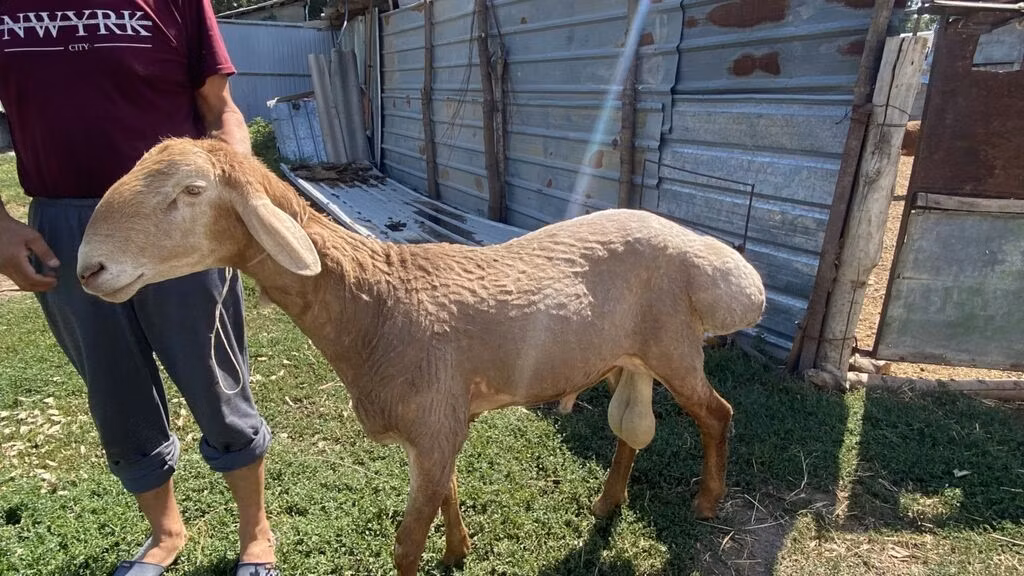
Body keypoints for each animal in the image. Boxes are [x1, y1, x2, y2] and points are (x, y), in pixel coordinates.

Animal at [76, 137, 767, 575]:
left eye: (191, 190)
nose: (89, 268)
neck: (375, 306)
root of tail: (710, 255)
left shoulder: (434, 421)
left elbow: (407, 542)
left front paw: (442, 551)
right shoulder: (437, 424)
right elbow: (449, 495)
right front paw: (459, 551)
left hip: (674, 347)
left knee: (719, 413)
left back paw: (708, 501)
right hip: (635, 357)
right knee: (631, 429)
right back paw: (607, 504)